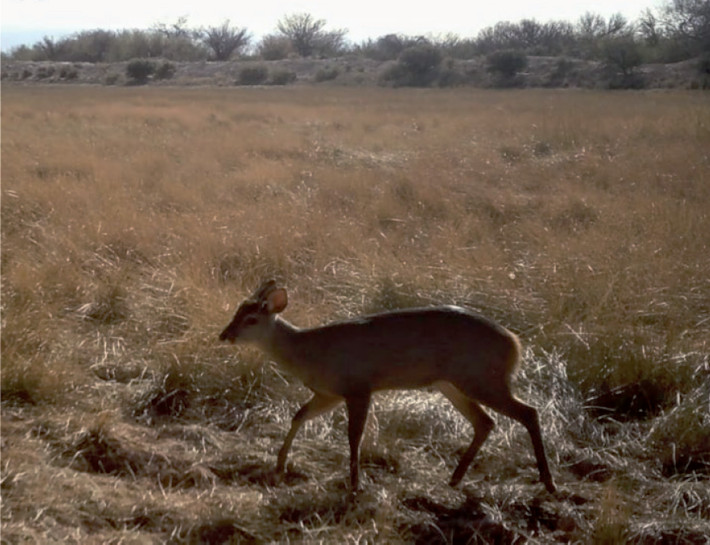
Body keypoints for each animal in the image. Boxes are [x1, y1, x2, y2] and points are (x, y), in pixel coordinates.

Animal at [220, 280, 560, 492]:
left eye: (251, 319)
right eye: (236, 311)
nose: (224, 335)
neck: (309, 351)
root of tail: (515, 344)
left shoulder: (358, 386)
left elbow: (354, 436)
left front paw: (355, 484)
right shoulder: (328, 394)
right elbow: (298, 415)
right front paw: (279, 464)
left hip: (482, 377)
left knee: (528, 412)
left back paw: (548, 482)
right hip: (453, 383)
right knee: (485, 422)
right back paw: (454, 479)